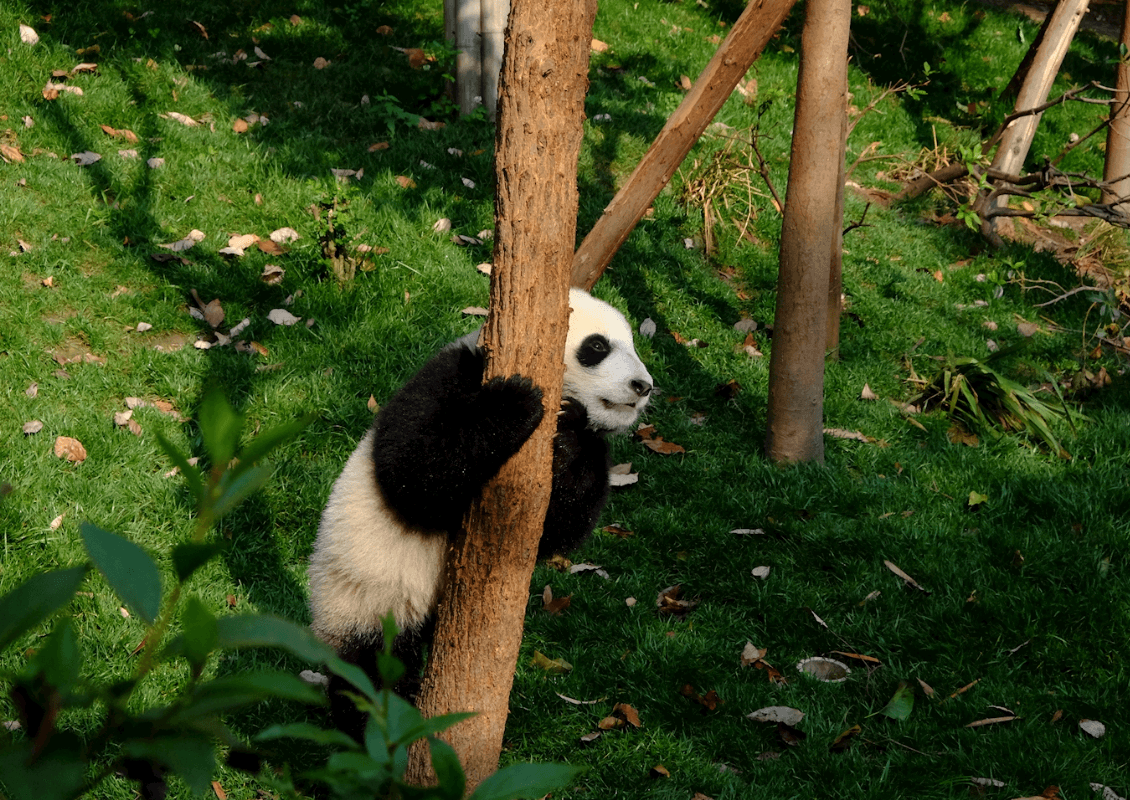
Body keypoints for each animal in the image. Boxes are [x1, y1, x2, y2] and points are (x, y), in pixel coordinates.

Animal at [307, 288, 652, 733]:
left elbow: (556, 528)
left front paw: (571, 436)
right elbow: (414, 470)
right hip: (364, 594)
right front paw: (515, 402)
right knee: (371, 670)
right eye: (597, 347)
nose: (643, 386)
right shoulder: (451, 374)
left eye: (633, 346)